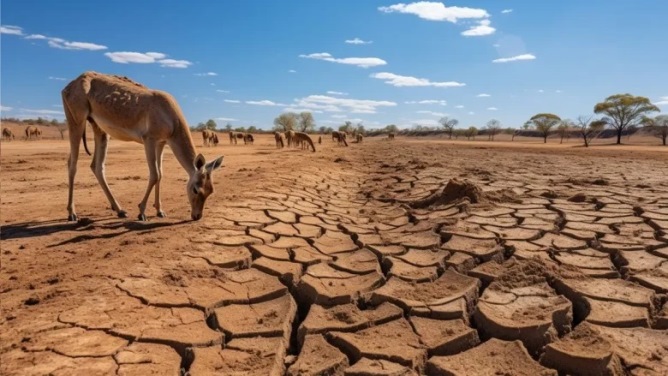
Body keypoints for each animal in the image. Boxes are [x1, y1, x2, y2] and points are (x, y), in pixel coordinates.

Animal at [62, 71, 224, 220]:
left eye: (211, 190)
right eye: (196, 189)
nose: (197, 216)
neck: (170, 116)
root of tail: (69, 86)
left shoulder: (161, 143)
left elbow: (161, 174)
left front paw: (159, 211)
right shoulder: (149, 140)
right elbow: (154, 174)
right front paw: (141, 212)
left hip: (100, 129)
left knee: (97, 166)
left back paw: (120, 210)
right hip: (77, 121)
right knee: (72, 164)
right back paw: (72, 213)